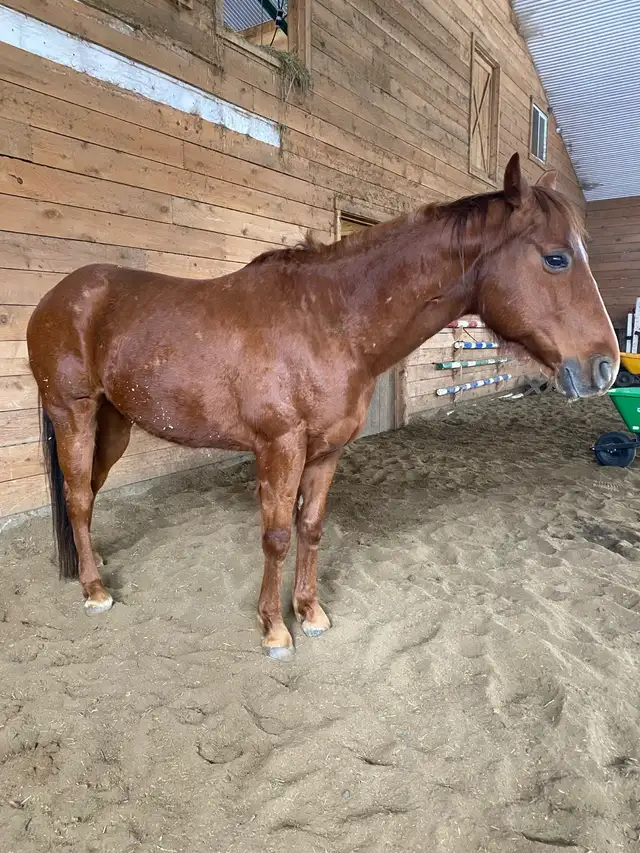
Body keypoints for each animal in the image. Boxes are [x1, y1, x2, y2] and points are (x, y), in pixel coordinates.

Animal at [27, 153, 619, 660]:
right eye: (556, 258)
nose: (606, 366)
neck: (329, 321)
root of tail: (56, 299)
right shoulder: (280, 447)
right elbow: (277, 536)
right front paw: (273, 627)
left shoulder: (327, 450)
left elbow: (310, 527)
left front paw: (309, 612)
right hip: (74, 414)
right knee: (78, 498)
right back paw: (94, 589)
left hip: (114, 424)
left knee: (89, 494)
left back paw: (94, 561)